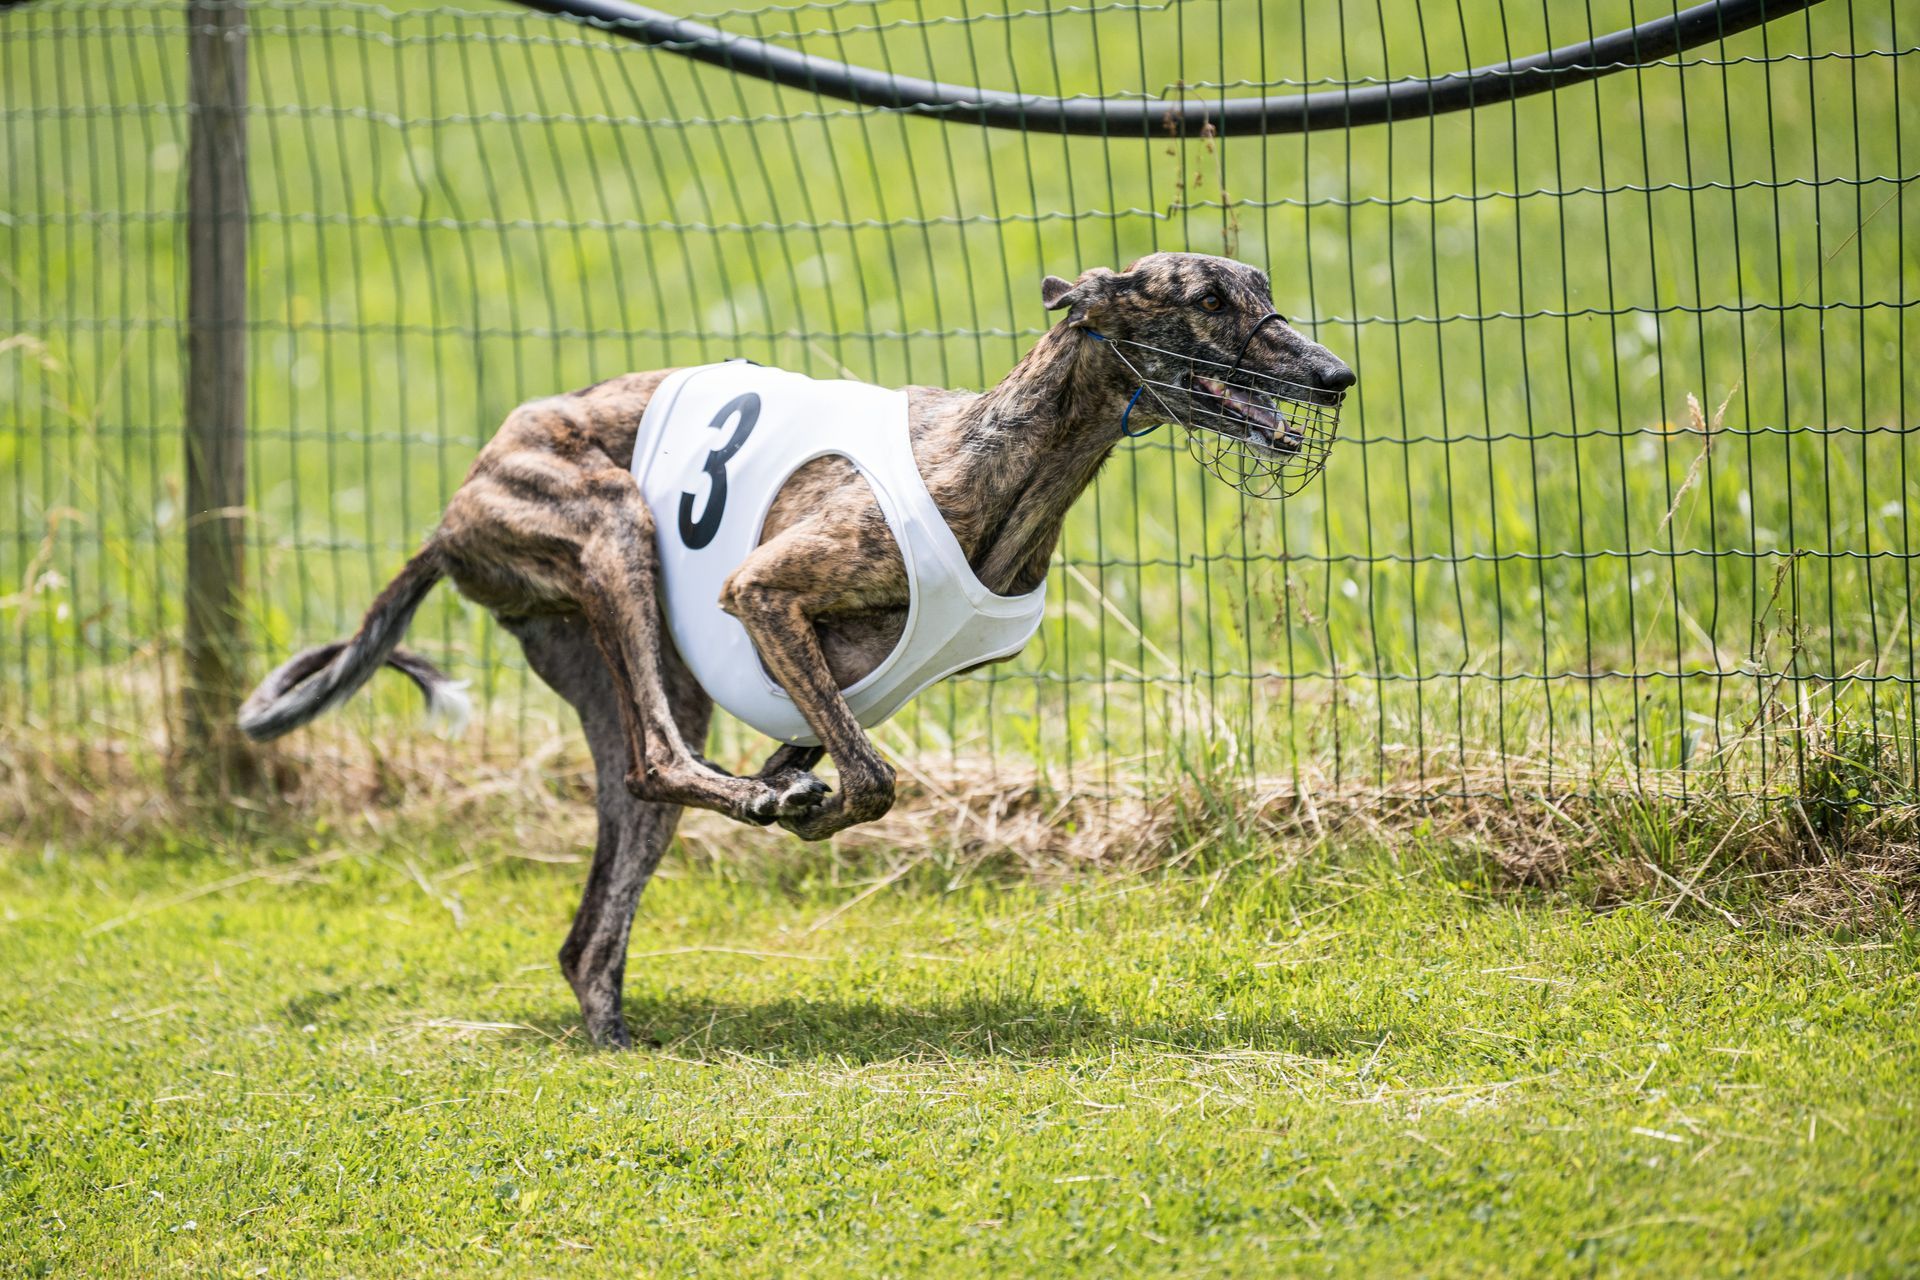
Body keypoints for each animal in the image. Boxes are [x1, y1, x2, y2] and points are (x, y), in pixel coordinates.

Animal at [238, 251, 1355, 1046]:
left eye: (1263, 287)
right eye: (1208, 298)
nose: (1337, 376)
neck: (1006, 451)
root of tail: (452, 507)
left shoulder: (815, 669)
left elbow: (832, 752)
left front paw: (792, 789)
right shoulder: (764, 591)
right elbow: (874, 776)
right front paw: (799, 804)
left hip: (624, 667)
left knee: (595, 914)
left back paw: (615, 1026)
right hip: (612, 526)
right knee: (657, 759)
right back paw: (749, 810)